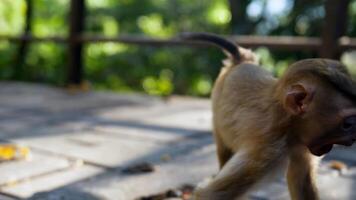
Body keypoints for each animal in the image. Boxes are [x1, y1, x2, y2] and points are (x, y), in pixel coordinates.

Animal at [181, 32, 356, 199]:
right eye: (348, 124)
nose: (353, 139)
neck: (289, 127)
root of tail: (242, 62)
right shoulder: (267, 150)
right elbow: (210, 194)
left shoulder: (303, 148)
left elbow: (302, 181)